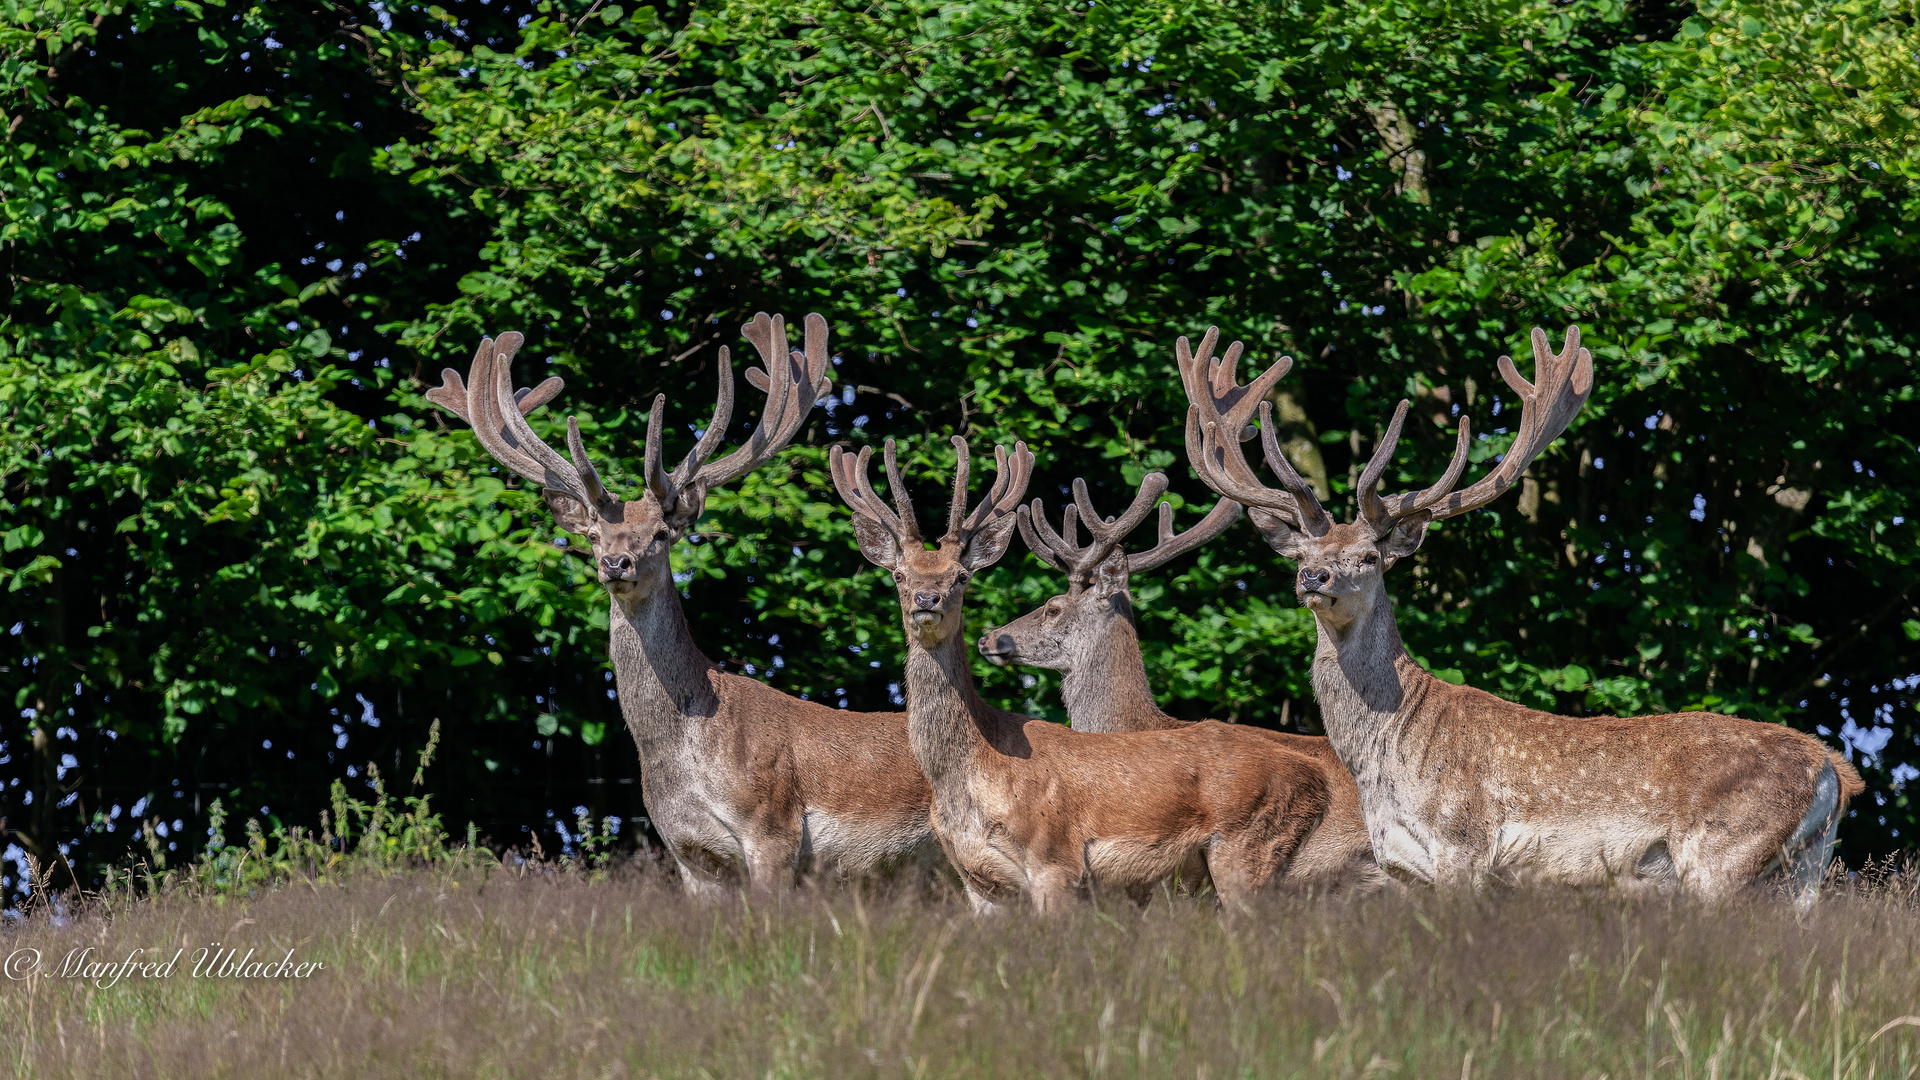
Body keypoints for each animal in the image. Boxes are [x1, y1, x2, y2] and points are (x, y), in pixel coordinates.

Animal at [424, 317, 933, 891]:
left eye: (663, 533)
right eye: (595, 535)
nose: (616, 563)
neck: (682, 756)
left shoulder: (773, 828)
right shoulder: (688, 853)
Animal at [825, 434, 1336, 907]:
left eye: (962, 576)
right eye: (899, 574)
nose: (926, 600)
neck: (969, 775)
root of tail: (1317, 783)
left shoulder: (1056, 858)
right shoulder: (974, 879)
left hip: (1249, 854)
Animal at [1175, 322, 1866, 903]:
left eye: (1369, 557)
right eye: (1302, 553)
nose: (1313, 577)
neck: (1389, 763)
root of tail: (1833, 770)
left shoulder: (1464, 845)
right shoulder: (1406, 868)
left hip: (1723, 858)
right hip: (1803, 873)